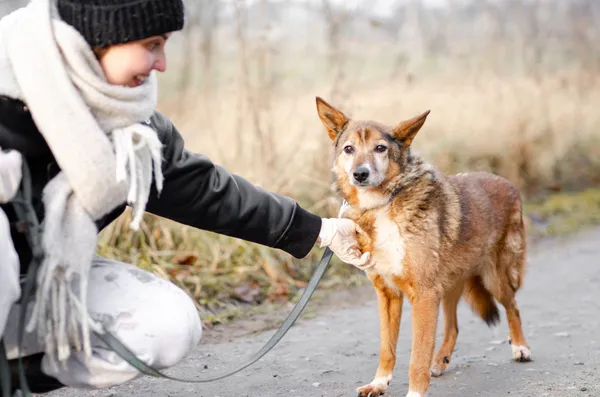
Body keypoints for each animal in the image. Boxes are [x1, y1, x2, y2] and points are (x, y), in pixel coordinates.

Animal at [316, 96, 532, 396]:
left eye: (380, 148)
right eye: (349, 149)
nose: (360, 174)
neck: (382, 205)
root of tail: (506, 182)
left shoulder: (424, 295)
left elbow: (417, 356)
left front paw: (415, 392)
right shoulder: (388, 295)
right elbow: (387, 348)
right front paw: (379, 383)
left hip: (495, 277)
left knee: (513, 307)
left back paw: (521, 348)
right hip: (449, 286)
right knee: (452, 327)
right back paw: (440, 361)